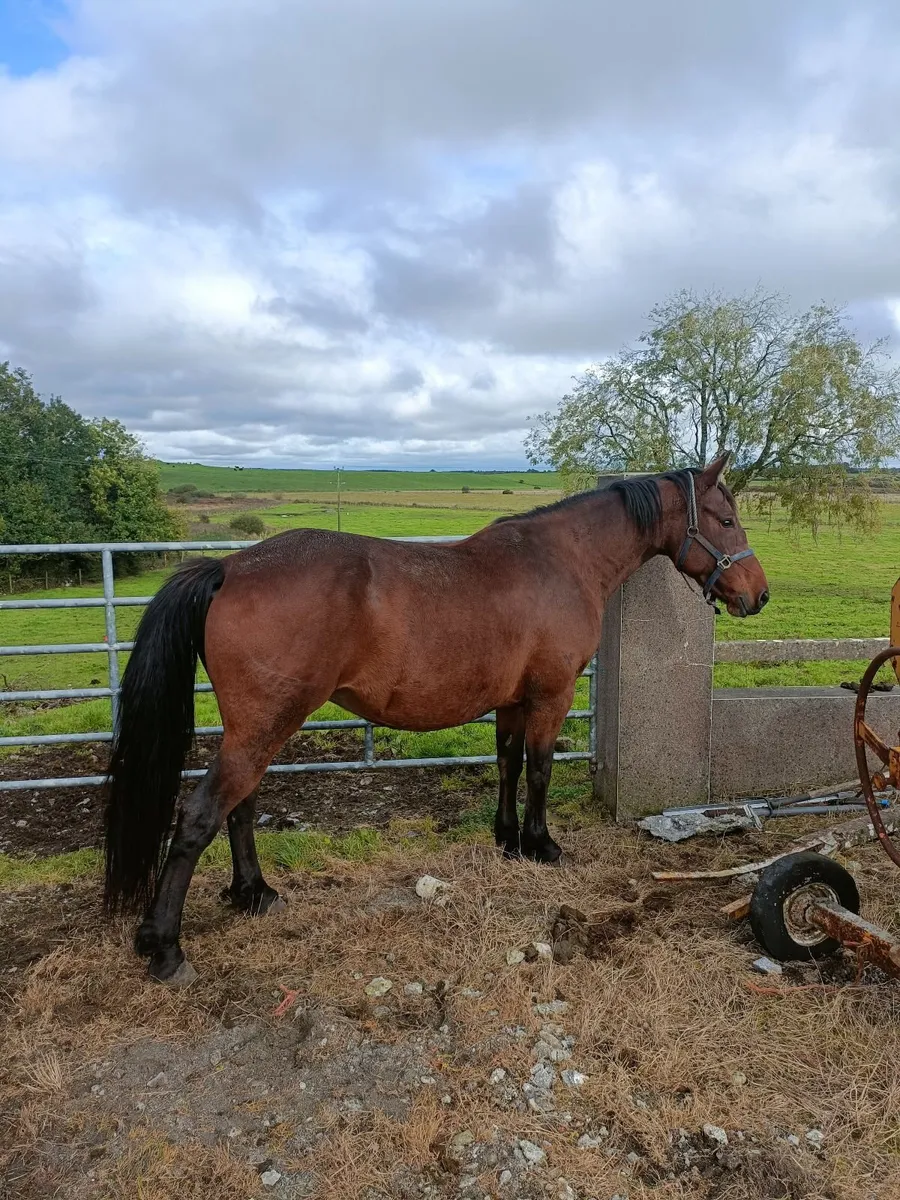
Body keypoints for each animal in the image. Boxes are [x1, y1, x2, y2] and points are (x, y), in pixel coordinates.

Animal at [104, 452, 768, 983]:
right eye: (726, 519)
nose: (757, 595)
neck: (562, 560)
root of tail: (231, 566)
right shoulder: (550, 696)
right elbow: (540, 768)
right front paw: (541, 845)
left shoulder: (510, 701)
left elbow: (506, 763)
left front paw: (507, 840)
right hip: (266, 726)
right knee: (200, 815)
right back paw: (165, 949)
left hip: (254, 729)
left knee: (239, 807)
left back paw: (255, 894)